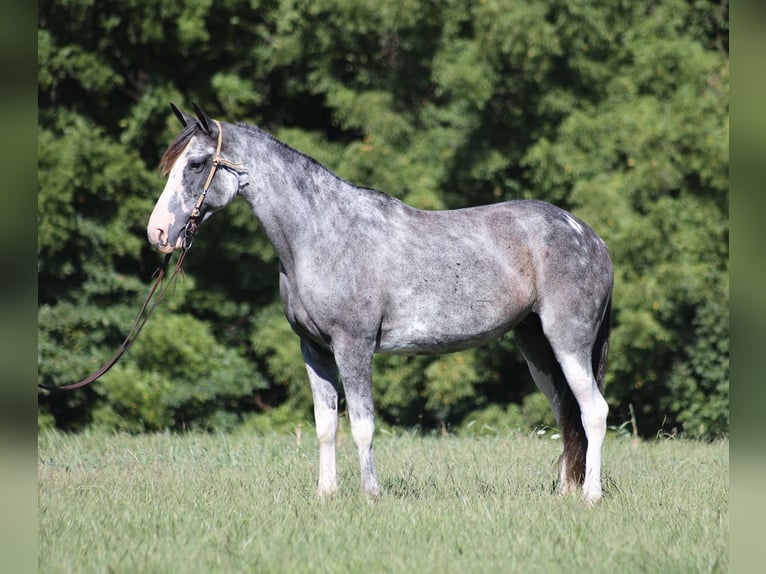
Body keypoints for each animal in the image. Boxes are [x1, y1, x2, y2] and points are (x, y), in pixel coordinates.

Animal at [148, 104, 613, 504]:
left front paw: (370, 494)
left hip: (568, 343)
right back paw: (565, 492)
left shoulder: (352, 346)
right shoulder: (314, 349)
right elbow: (325, 426)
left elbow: (362, 426)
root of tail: (591, 237)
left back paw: (590, 496)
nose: (158, 233)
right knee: (566, 414)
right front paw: (327, 494)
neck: (322, 233)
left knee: (593, 411)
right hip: (537, 348)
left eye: (196, 164)